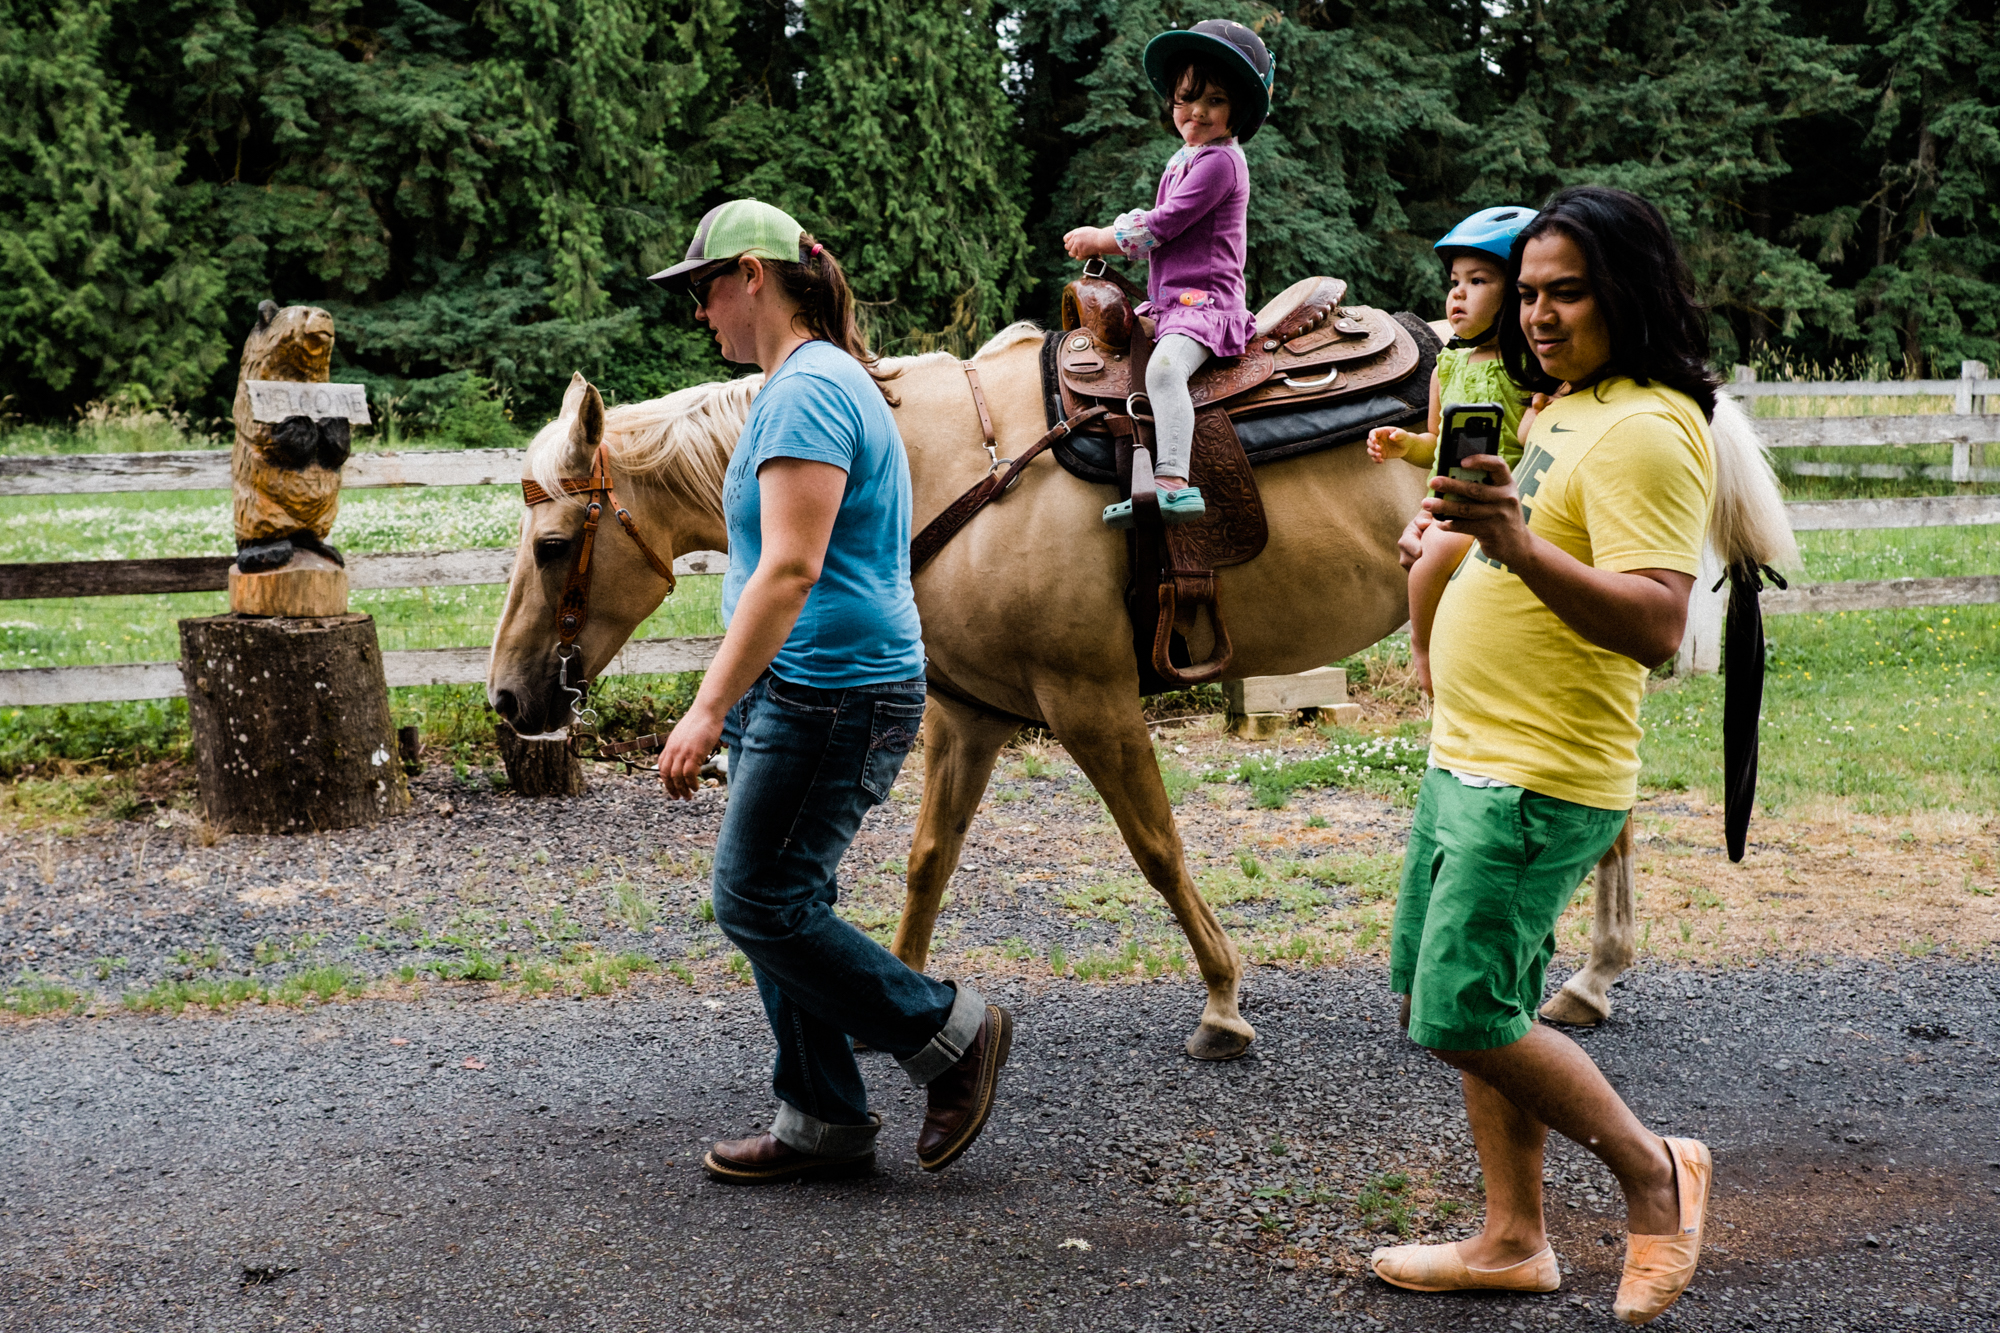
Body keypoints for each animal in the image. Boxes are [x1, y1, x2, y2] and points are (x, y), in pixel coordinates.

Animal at [488, 320, 1800, 1048]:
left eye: (553, 546)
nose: (505, 699)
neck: (937, 470)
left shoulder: (1091, 702)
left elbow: (1156, 848)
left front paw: (1221, 1002)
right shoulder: (969, 715)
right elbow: (925, 865)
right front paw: (898, 1009)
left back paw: (1588, 975)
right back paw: (1581, 972)